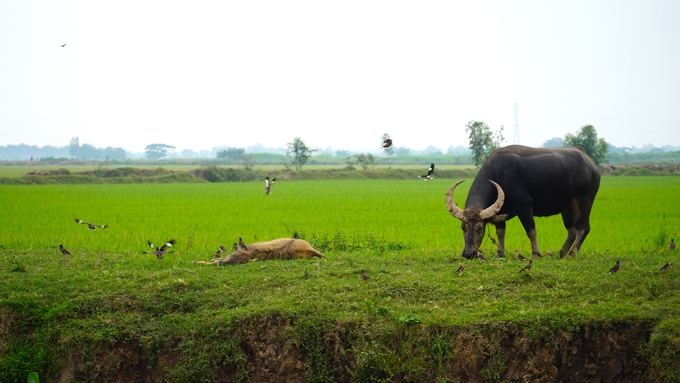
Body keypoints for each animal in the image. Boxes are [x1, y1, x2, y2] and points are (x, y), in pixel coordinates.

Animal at [446, 146, 600, 260]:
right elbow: (500, 232)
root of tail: (591, 164)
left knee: (583, 228)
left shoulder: (524, 207)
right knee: (571, 230)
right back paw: (562, 253)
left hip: (584, 200)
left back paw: (572, 254)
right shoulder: (500, 211)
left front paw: (536, 254)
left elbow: (531, 230)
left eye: (479, 228)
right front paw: (499, 254)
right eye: (463, 227)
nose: (468, 254)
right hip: (566, 207)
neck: (500, 175)